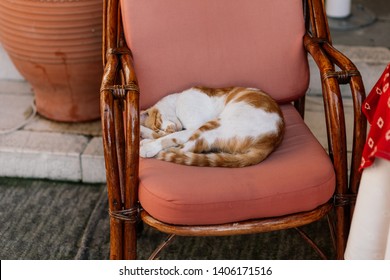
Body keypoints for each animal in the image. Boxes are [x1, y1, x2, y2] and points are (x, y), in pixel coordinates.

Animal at [139, 86, 284, 167]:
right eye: (158, 128)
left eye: (158, 122)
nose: (166, 129)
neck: (178, 98)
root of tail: (272, 141)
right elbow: (163, 136)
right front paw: (147, 136)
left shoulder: (193, 127)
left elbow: (170, 137)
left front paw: (150, 146)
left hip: (212, 126)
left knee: (184, 149)